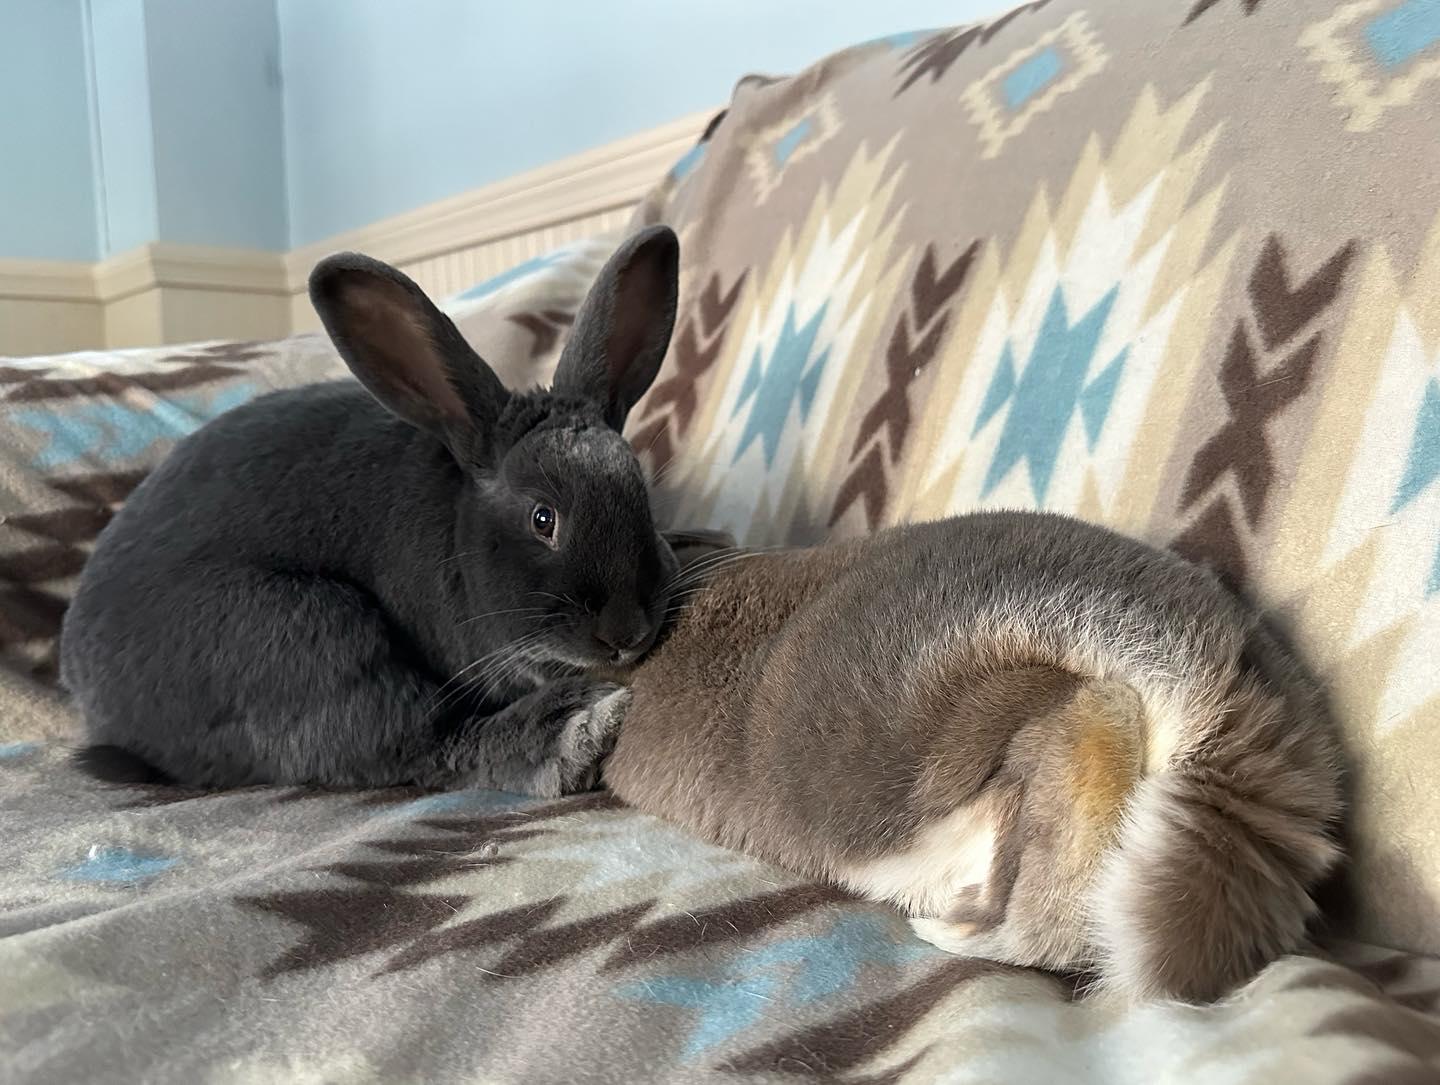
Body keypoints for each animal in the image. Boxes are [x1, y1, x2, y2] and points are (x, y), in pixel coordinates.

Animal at [60, 225, 688, 796]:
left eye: (640, 493)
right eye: (543, 519)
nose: (625, 632)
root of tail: (96, 702)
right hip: (314, 630)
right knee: (420, 746)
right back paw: (573, 730)